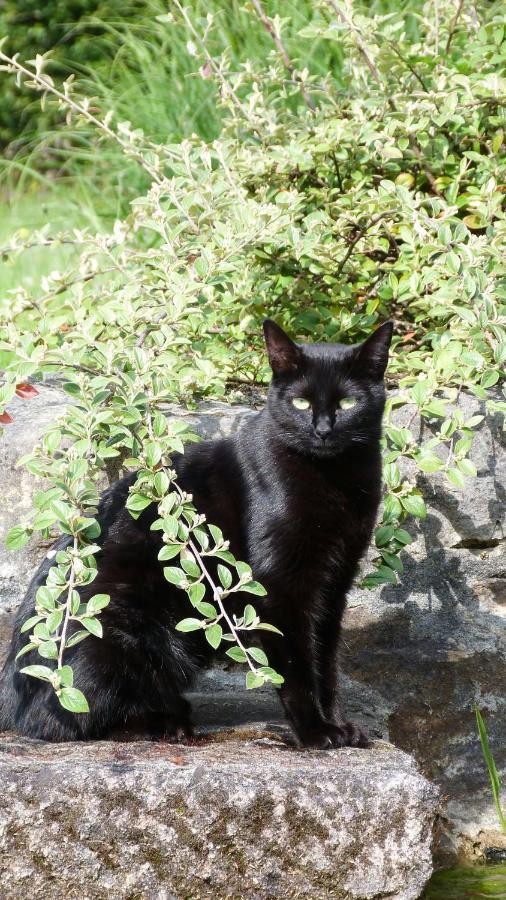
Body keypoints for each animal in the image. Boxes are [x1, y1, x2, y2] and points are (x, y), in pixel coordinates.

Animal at [0, 320, 392, 748]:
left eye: (349, 404)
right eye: (301, 403)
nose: (322, 430)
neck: (334, 477)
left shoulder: (334, 583)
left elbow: (326, 661)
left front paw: (340, 725)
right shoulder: (281, 585)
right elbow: (296, 666)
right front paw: (315, 732)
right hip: (120, 630)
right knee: (68, 722)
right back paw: (166, 723)